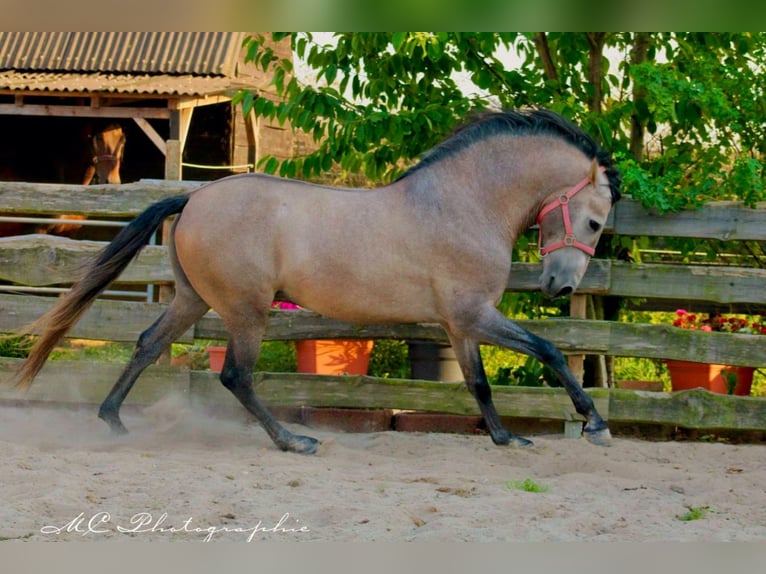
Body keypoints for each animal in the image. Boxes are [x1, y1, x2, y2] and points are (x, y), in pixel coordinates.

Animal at [10, 110, 624, 456]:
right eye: (596, 222)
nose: (560, 287)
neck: (464, 203)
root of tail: (194, 197)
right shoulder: (473, 314)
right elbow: (550, 351)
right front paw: (594, 423)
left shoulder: (460, 324)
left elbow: (479, 384)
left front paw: (506, 437)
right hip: (247, 311)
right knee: (235, 376)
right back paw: (295, 441)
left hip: (194, 300)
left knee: (146, 345)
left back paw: (113, 420)